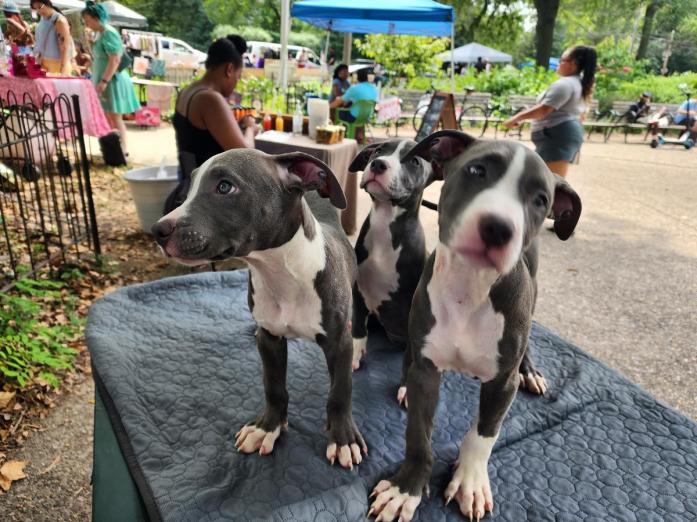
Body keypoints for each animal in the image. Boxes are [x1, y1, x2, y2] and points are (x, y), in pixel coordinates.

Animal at [152, 146, 368, 468]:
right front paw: (268, 427)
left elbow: (340, 392)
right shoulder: (270, 339)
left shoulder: (338, 342)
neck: (280, 272)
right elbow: (274, 387)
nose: (158, 230)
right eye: (188, 189)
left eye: (225, 187)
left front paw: (343, 438)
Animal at [348, 138, 436, 390]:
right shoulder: (359, 293)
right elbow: (359, 329)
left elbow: (411, 357)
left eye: (415, 161)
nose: (378, 164)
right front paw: (354, 355)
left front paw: (407, 387)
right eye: (378, 150)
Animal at [370, 128, 580, 516]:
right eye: (477, 170)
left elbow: (484, 435)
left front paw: (469, 479)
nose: (498, 228)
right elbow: (418, 435)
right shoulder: (427, 370)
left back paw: (531, 370)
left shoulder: (501, 384)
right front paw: (406, 488)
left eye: (540, 199)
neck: (468, 288)